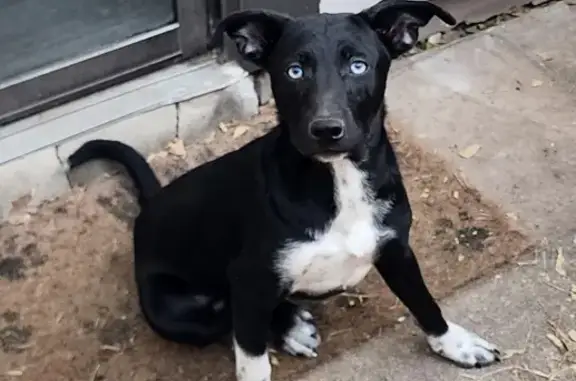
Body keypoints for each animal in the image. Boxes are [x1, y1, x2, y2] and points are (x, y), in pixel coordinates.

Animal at [67, 1, 500, 378]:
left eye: (358, 66)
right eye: (294, 71)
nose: (326, 130)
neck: (338, 181)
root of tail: (151, 204)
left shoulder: (395, 248)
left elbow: (423, 300)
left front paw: (455, 343)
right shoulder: (249, 276)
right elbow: (251, 358)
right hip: (175, 311)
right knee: (229, 319)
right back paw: (288, 325)